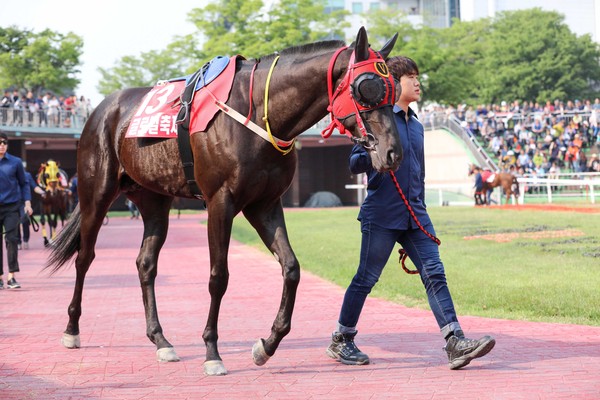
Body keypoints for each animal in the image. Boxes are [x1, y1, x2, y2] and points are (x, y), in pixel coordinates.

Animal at [45, 27, 404, 376]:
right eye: (367, 87)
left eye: (393, 89)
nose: (393, 152)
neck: (257, 113)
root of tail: (103, 110)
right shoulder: (221, 202)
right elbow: (219, 277)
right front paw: (211, 352)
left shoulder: (265, 204)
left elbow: (291, 268)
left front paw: (267, 345)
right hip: (96, 193)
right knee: (84, 257)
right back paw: (72, 329)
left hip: (153, 199)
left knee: (145, 263)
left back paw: (161, 340)